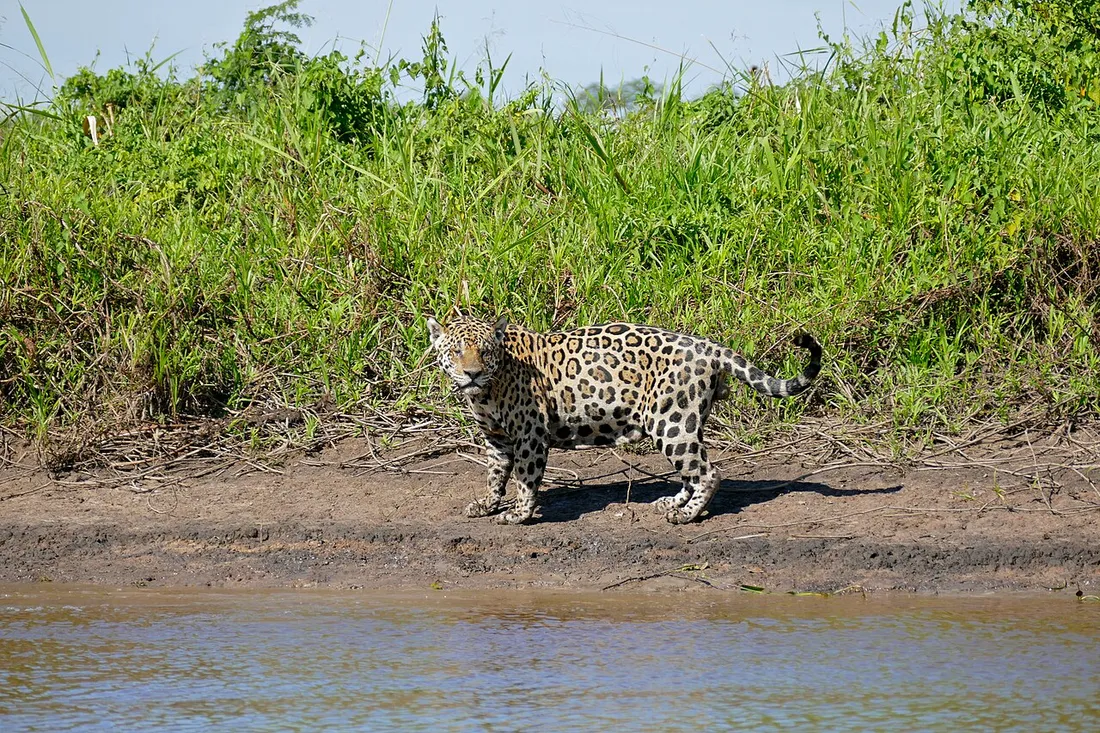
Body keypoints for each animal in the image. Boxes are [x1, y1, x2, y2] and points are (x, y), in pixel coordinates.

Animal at [426, 315, 822, 525]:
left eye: (485, 352)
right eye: (456, 352)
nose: (472, 373)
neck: (487, 390)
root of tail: (708, 346)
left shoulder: (530, 435)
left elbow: (525, 478)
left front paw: (520, 514)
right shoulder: (497, 438)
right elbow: (495, 474)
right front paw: (487, 504)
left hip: (671, 421)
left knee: (709, 472)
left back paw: (687, 515)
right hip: (683, 421)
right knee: (692, 470)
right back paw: (673, 502)